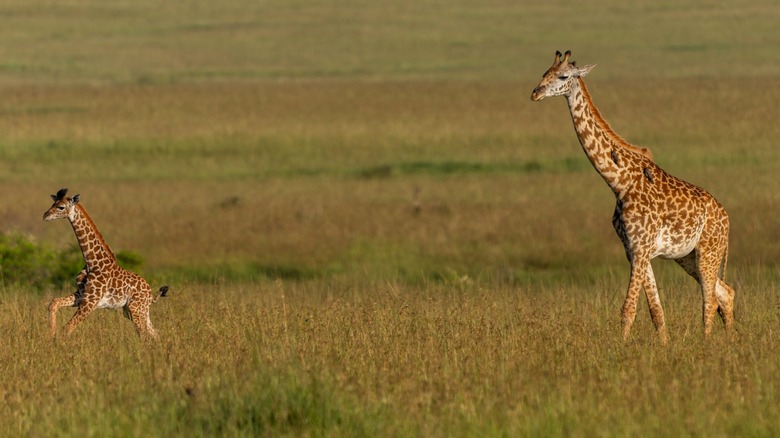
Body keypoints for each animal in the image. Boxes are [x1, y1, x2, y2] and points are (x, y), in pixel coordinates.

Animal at [44, 188, 169, 338]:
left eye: (61, 207)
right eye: (53, 203)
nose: (45, 215)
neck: (92, 261)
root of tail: (150, 294)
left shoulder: (91, 301)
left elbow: (67, 328)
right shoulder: (81, 295)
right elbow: (54, 303)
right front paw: (50, 334)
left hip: (136, 308)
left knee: (144, 334)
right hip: (134, 310)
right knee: (155, 333)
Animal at [531, 51, 734, 343]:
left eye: (563, 76)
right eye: (544, 72)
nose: (535, 93)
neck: (619, 182)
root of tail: (726, 217)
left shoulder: (640, 248)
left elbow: (628, 308)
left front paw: (620, 347)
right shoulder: (634, 249)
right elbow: (655, 311)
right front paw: (663, 346)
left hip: (709, 249)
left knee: (710, 300)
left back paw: (708, 343)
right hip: (688, 255)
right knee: (725, 292)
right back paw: (729, 340)